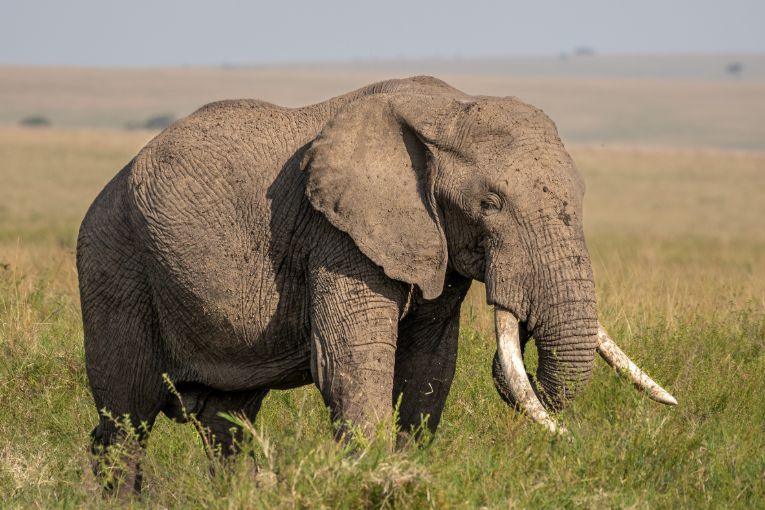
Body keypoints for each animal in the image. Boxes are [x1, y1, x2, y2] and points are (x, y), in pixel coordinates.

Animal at [77, 73, 676, 492]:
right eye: (491, 203)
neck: (447, 110)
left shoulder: (434, 243)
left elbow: (429, 366)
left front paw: (408, 476)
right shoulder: (336, 234)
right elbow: (350, 362)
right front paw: (375, 481)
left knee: (227, 420)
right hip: (114, 265)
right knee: (126, 419)